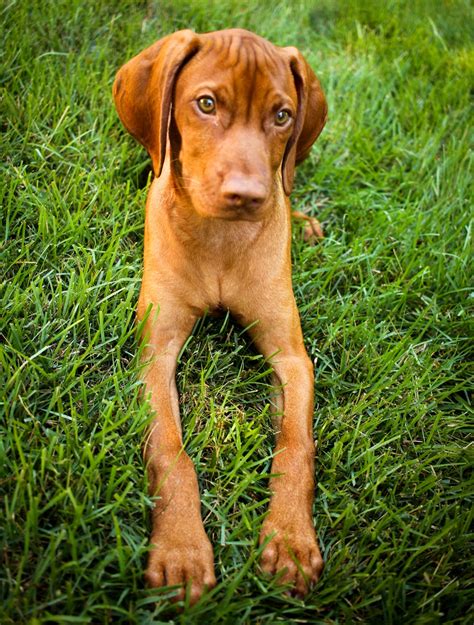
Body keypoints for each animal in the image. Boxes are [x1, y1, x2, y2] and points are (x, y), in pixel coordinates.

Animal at [114, 28, 328, 600]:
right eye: (206, 104)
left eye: (282, 115)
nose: (248, 196)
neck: (219, 240)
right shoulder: (155, 352)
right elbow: (170, 451)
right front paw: (181, 551)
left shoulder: (292, 358)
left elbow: (295, 447)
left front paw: (291, 541)